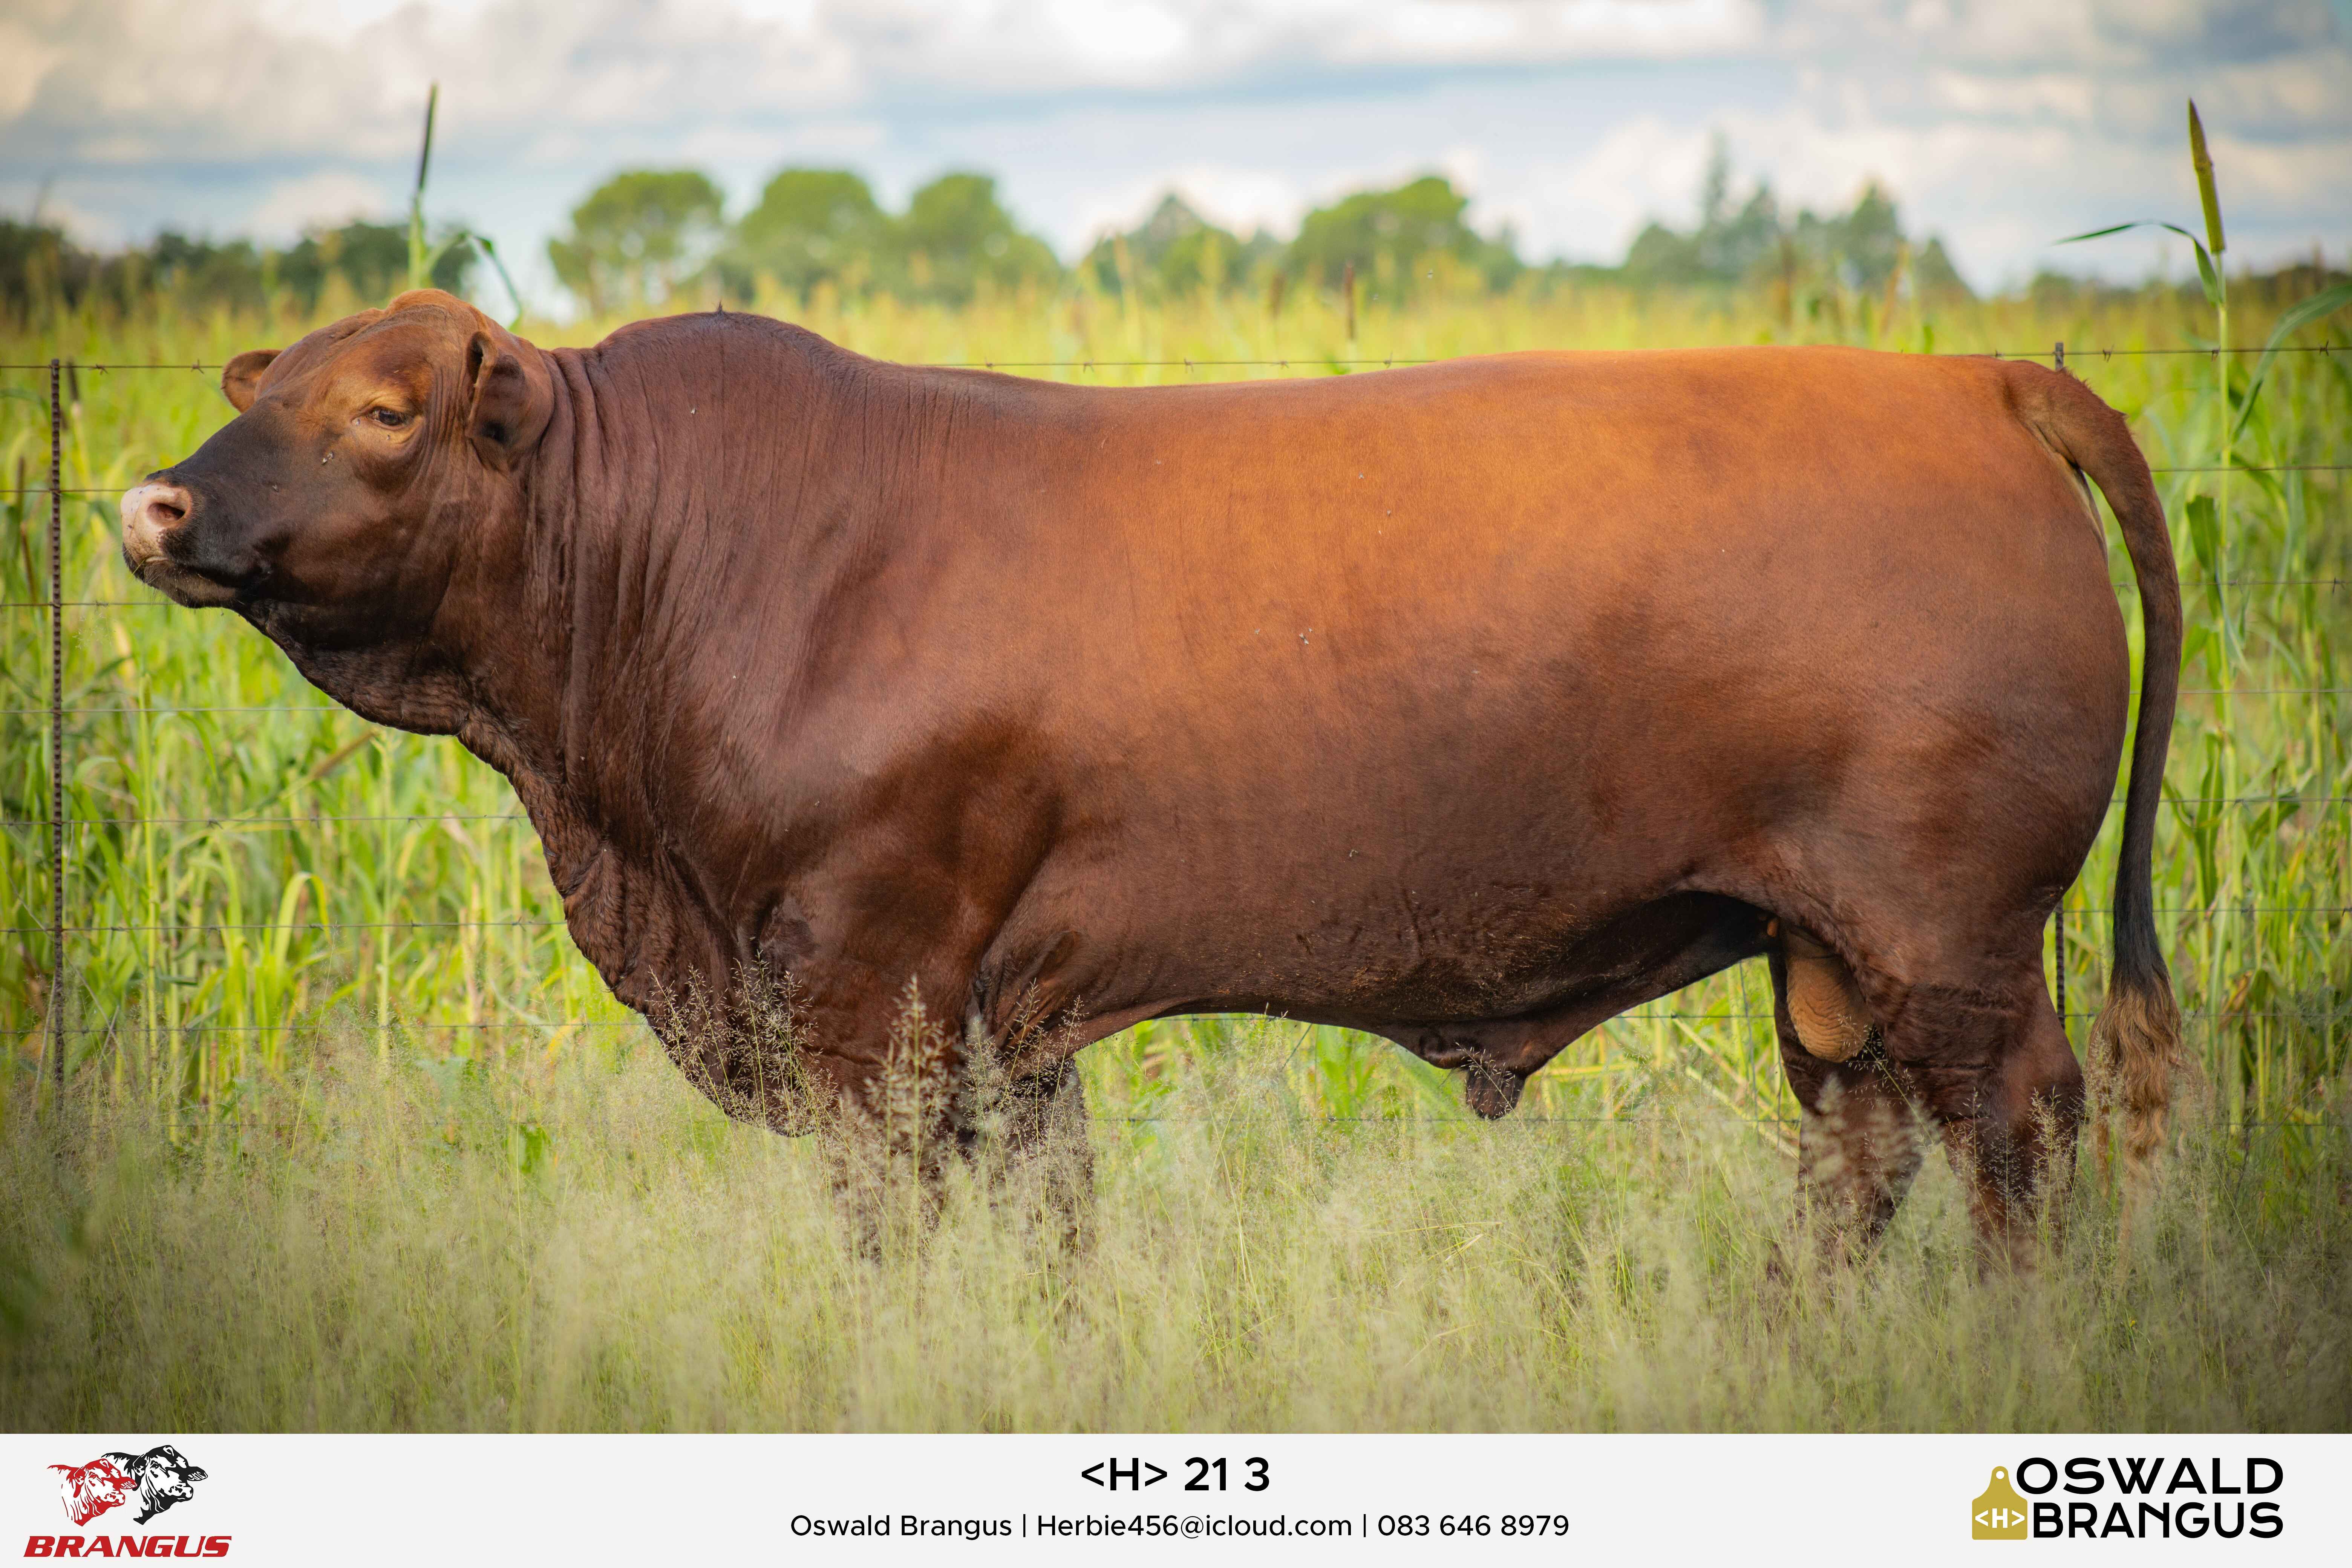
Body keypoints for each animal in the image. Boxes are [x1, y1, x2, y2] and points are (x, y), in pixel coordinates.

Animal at [121, 290, 2180, 1254]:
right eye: (255, 389)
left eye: (384, 408)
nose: (154, 504)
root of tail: (1971, 378)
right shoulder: (1007, 1016)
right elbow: (1047, 1233)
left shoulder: (870, 972)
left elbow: (894, 1225)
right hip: (1825, 954)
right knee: (1863, 1150)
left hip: (1950, 933)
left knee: (2020, 1135)